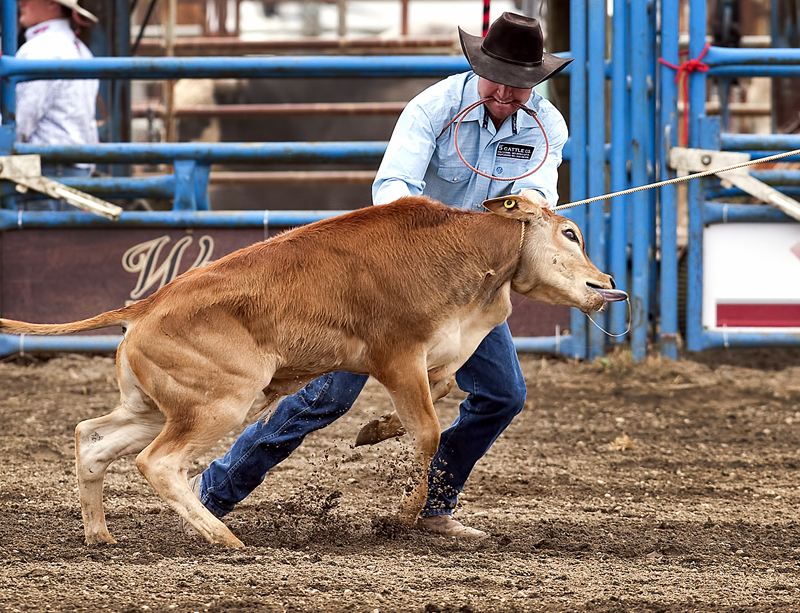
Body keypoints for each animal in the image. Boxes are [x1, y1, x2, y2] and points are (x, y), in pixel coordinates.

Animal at [0, 194, 626, 548]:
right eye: (570, 233)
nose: (607, 286)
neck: (464, 257)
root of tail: (145, 306)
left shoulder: (437, 355)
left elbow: (442, 393)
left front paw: (376, 430)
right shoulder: (397, 356)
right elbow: (428, 432)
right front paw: (403, 515)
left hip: (156, 407)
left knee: (91, 439)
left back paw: (99, 534)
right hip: (219, 404)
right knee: (158, 462)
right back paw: (224, 538)